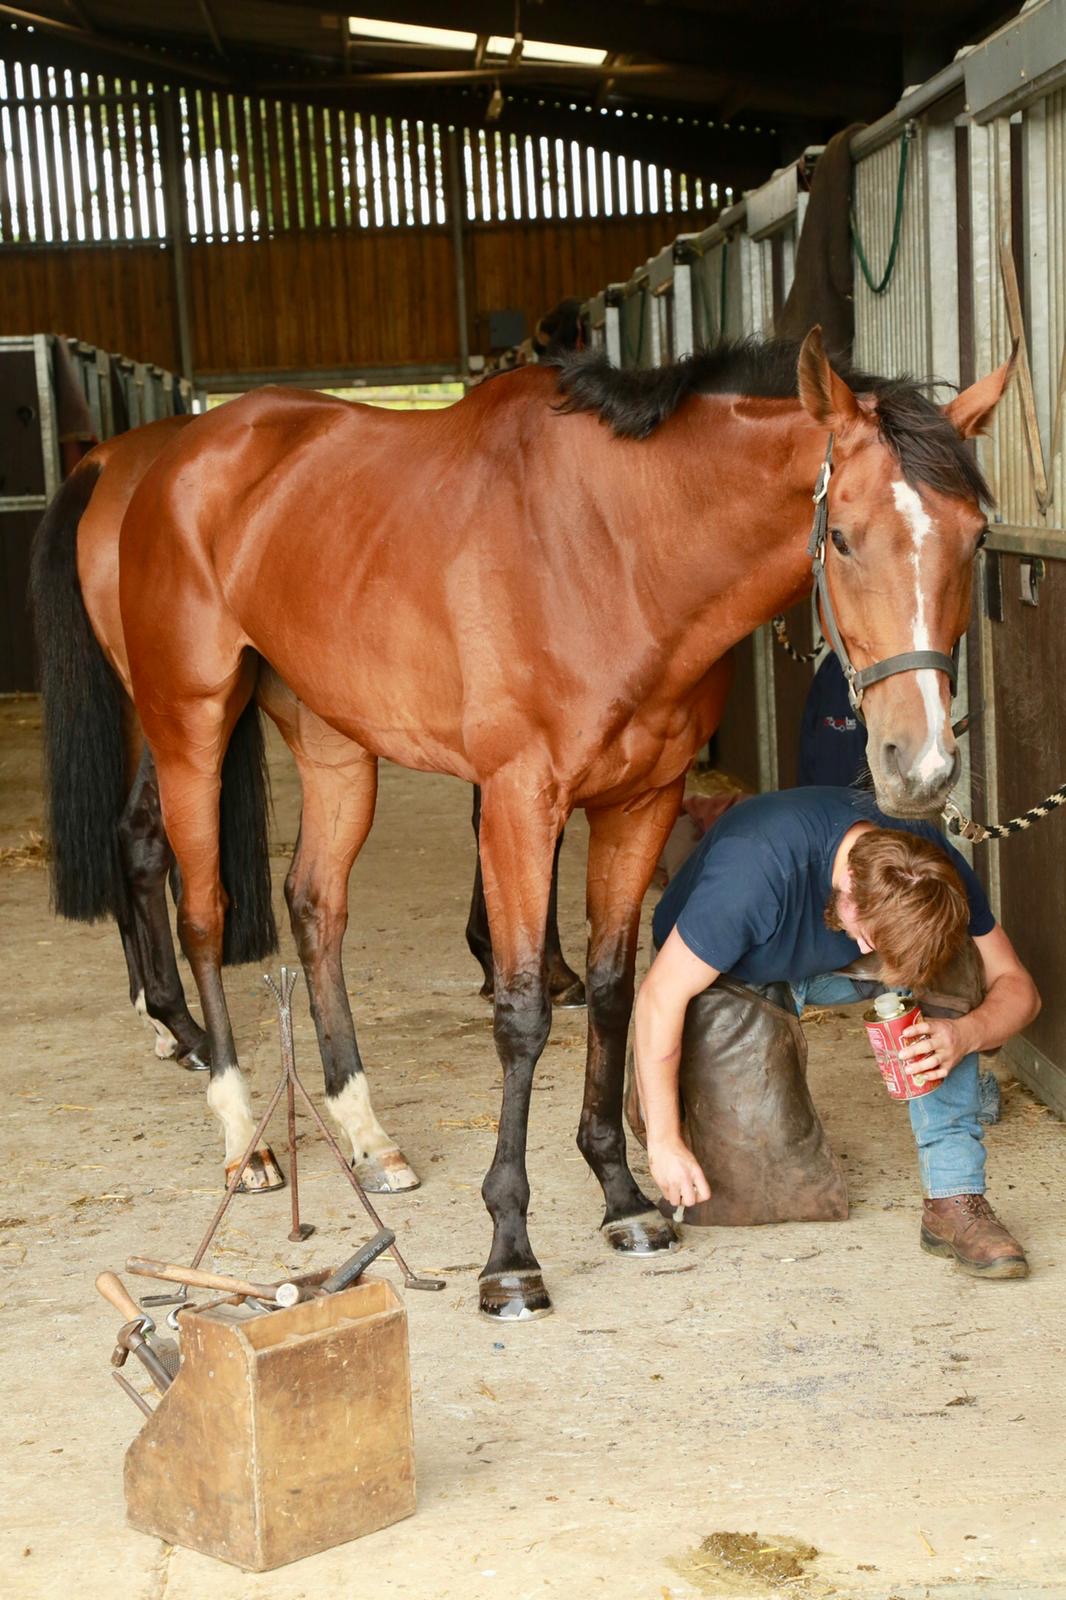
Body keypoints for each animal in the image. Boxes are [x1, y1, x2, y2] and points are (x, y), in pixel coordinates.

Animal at [33, 419, 576, 1196]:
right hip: (178, 711)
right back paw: (190, 1039)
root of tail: (110, 459)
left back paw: (169, 1024)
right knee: (149, 845)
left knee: (137, 840)